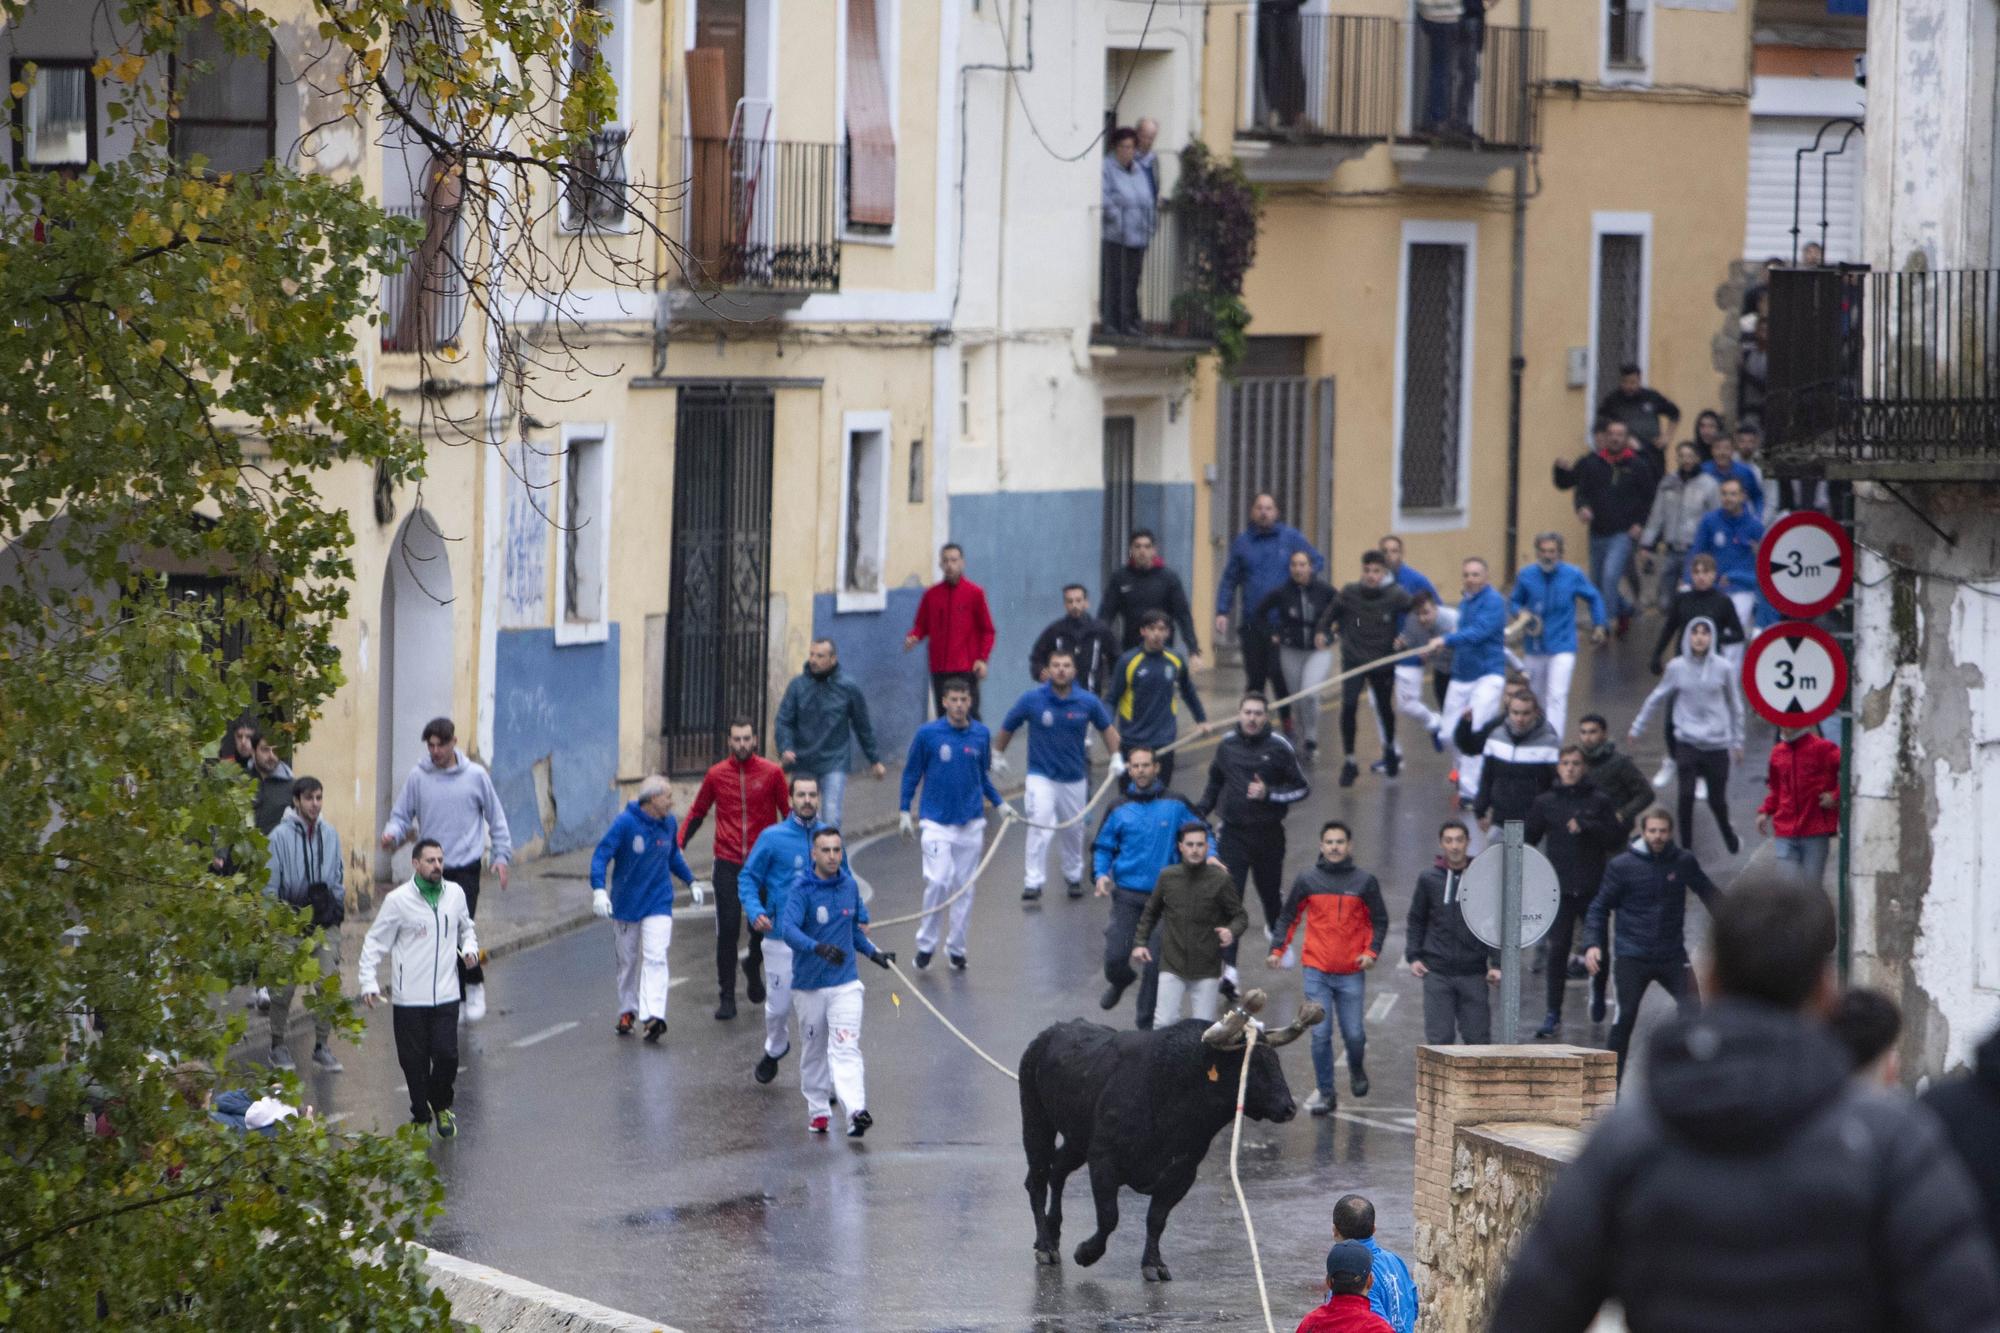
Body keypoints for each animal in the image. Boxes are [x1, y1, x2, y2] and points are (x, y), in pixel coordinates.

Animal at [1016, 984, 1328, 1280]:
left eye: (1275, 1059)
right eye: (1249, 1065)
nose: (1288, 1108)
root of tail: (1052, 1032)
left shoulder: (1181, 1173)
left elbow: (1156, 1219)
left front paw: (1154, 1264)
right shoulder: (1104, 1162)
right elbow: (1109, 1216)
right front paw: (1086, 1253)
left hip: (1077, 1139)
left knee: (1057, 1170)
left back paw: (1053, 1232)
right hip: (1035, 1121)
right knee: (1038, 1178)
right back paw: (1045, 1245)